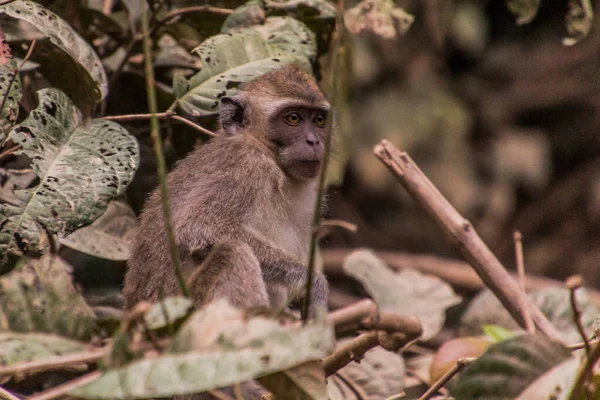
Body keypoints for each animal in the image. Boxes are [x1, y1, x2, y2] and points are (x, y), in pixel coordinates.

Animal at [123, 63, 330, 318]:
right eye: (293, 118)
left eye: (319, 120)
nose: (314, 142)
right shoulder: (246, 166)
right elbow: (197, 228)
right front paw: (312, 284)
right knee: (232, 253)